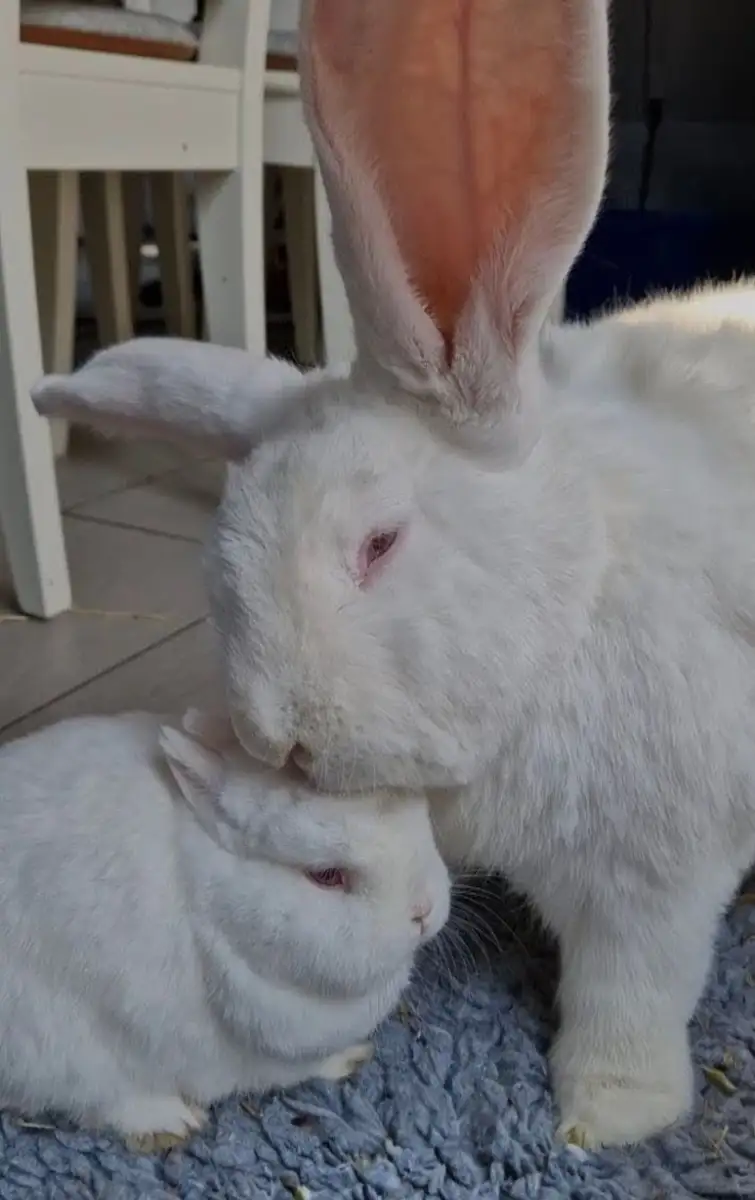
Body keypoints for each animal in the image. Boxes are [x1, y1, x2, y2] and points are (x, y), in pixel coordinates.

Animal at [0, 709, 449, 1145]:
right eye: (326, 875)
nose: (423, 912)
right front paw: (350, 1059)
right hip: (63, 1050)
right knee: (100, 1100)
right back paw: (176, 1120)